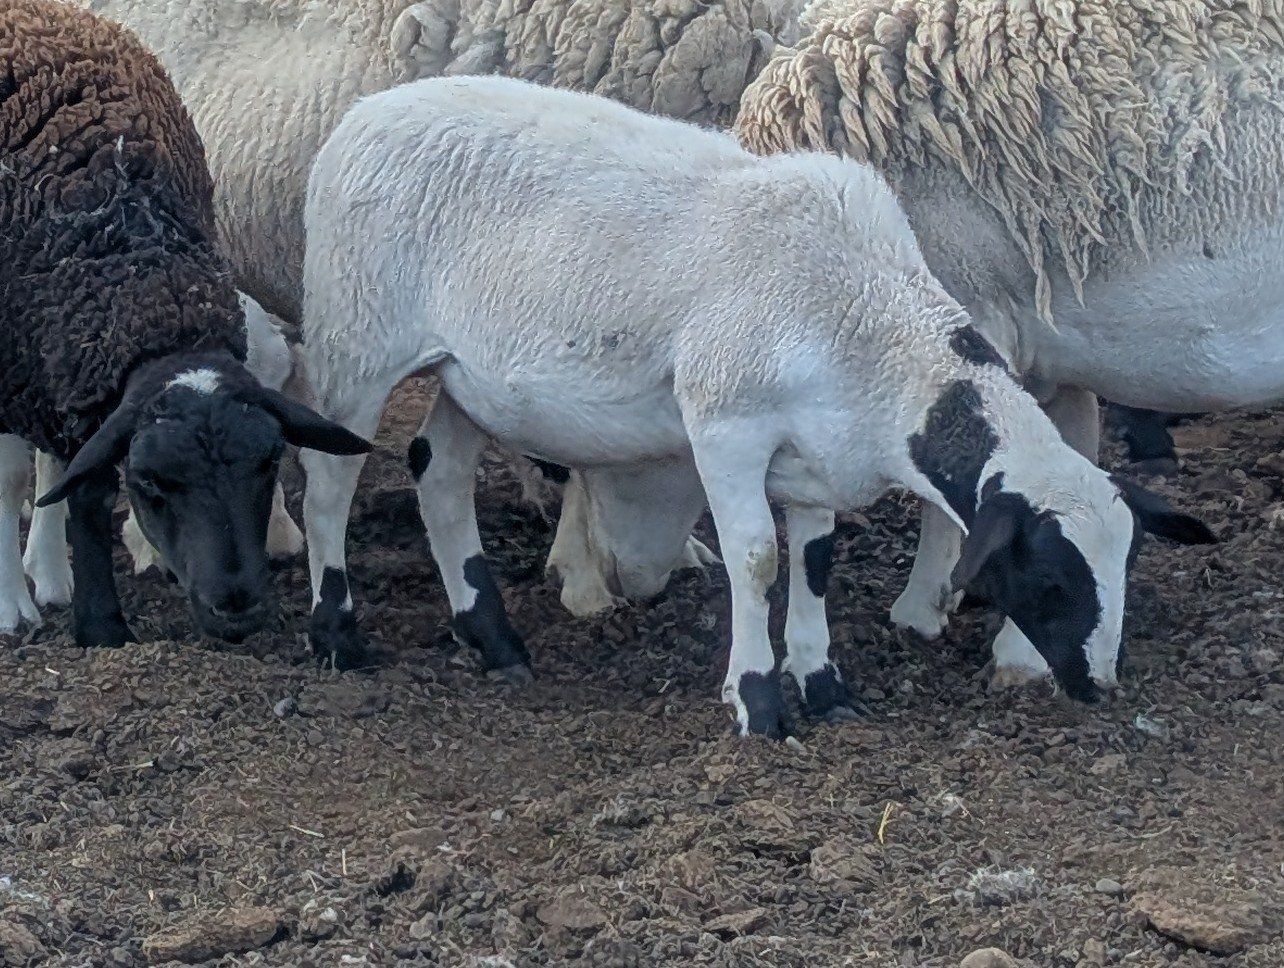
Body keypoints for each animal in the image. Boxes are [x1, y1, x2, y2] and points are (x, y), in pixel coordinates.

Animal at [0, 0, 371, 646]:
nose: (238, 607)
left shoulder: (66, 361)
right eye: (151, 482)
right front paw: (16, 607)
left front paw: (93, 617)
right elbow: (23, 485)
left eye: (268, 463)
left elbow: (81, 480)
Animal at [296, 75, 1211, 735]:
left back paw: (492, 639)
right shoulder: (725, 426)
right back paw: (337, 632)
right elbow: (757, 559)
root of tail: (363, 114)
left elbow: (815, 561)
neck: (868, 319)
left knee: (439, 474)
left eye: (1126, 562)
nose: (1098, 684)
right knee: (328, 483)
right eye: (1049, 575)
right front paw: (758, 700)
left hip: (467, 373)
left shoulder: (816, 457)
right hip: (356, 336)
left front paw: (824, 685)